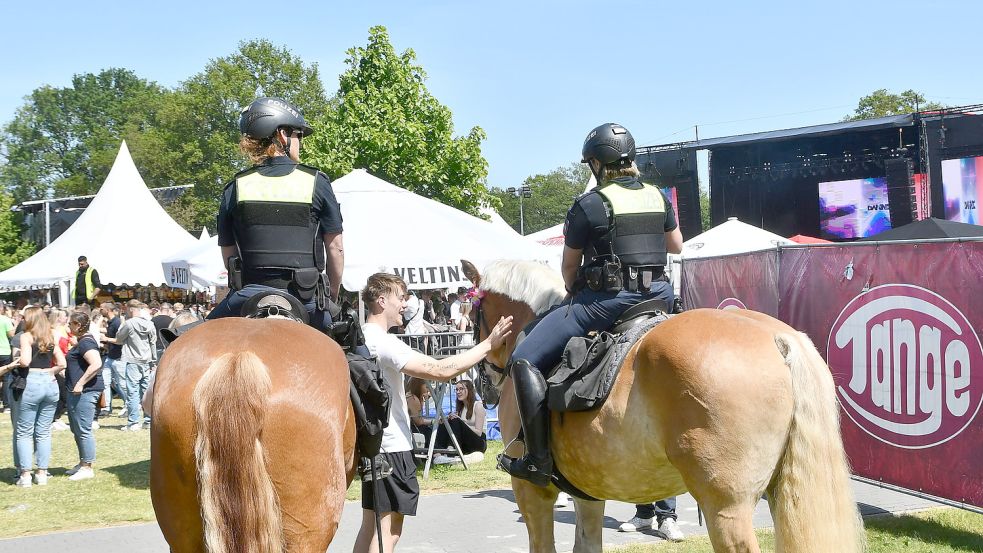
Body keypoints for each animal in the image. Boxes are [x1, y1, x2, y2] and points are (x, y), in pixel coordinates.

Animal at [468, 260, 860, 552]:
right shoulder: (589, 492)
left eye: (473, 316)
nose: (483, 383)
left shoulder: (533, 492)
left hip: (727, 508)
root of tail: (778, 338)